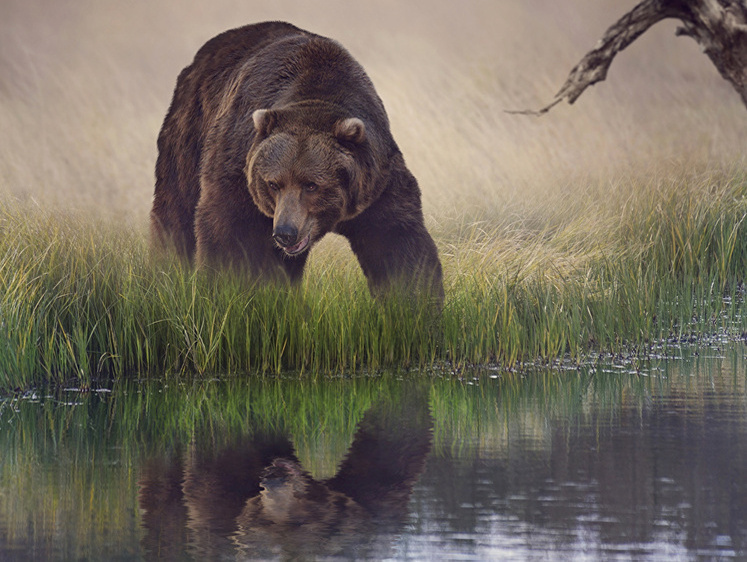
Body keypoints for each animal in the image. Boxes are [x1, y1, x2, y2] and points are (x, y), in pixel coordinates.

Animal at [152, 19, 444, 300]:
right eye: (273, 183)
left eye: (311, 184)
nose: (285, 232)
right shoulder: (238, 167)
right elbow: (228, 232)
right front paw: (225, 290)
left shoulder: (376, 182)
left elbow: (398, 243)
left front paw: (411, 303)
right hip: (190, 131)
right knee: (176, 208)